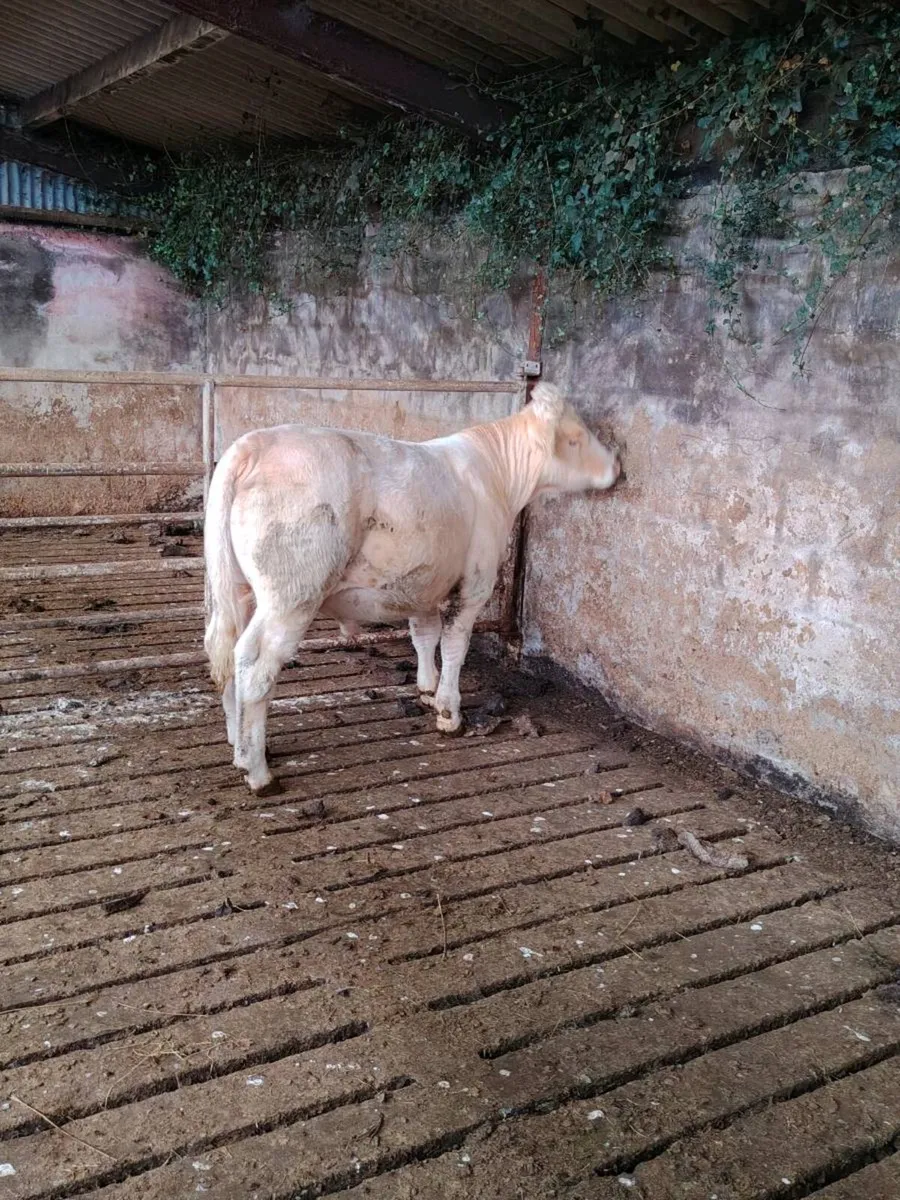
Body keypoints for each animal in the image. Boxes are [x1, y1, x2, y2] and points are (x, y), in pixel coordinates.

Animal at [204, 382, 622, 793]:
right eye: (576, 437)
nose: (618, 465)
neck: (498, 478)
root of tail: (253, 444)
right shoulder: (474, 584)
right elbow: (454, 647)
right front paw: (449, 713)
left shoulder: (424, 583)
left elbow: (424, 636)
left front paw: (427, 689)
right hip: (292, 594)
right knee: (256, 667)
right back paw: (259, 773)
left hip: (240, 591)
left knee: (229, 653)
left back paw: (240, 747)